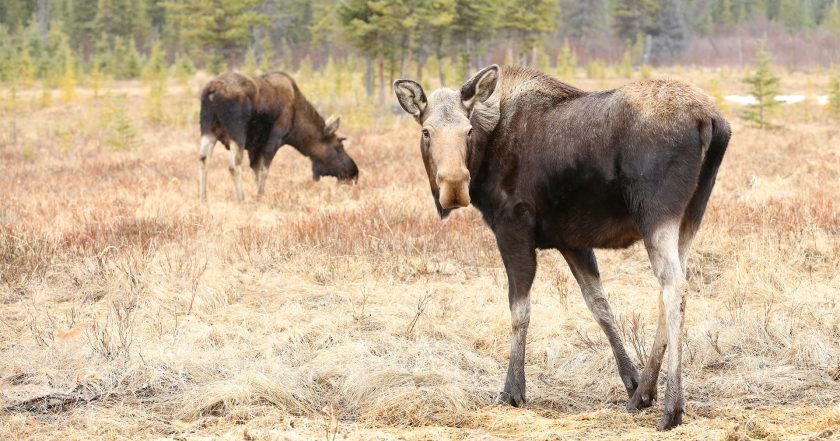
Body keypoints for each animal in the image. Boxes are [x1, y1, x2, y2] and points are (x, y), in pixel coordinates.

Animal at [199, 71, 358, 202]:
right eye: (338, 147)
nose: (354, 173)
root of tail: (212, 91)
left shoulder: (255, 146)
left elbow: (255, 169)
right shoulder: (274, 139)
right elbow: (263, 170)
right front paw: (260, 196)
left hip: (207, 129)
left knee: (203, 158)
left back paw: (203, 198)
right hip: (237, 133)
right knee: (234, 165)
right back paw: (241, 199)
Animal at [394, 65, 728, 430]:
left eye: (467, 131)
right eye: (426, 131)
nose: (454, 186)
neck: (485, 158)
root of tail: (711, 121)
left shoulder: (513, 227)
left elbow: (519, 312)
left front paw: (512, 391)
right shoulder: (572, 242)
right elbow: (600, 306)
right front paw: (632, 381)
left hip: (655, 212)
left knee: (674, 287)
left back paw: (672, 407)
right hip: (691, 215)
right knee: (668, 289)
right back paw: (644, 394)